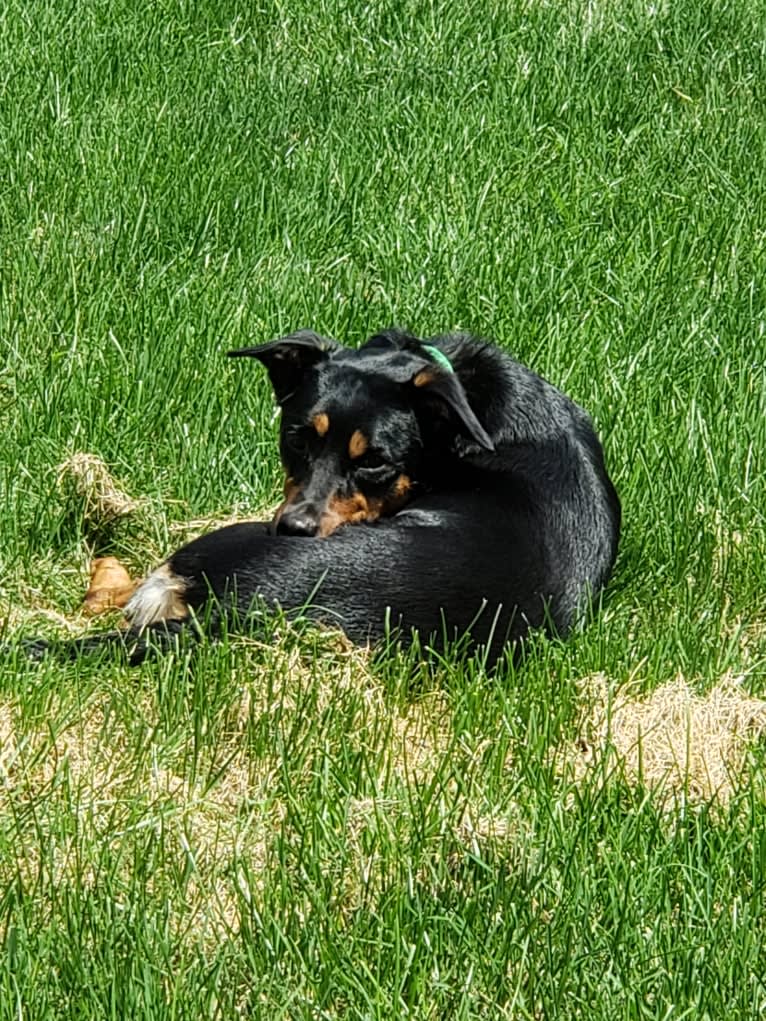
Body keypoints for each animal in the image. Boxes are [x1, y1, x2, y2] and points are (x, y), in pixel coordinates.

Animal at [19, 326, 625, 661]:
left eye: (374, 461)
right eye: (296, 438)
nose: (294, 529)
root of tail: (243, 617)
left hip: (215, 547)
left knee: (118, 592)